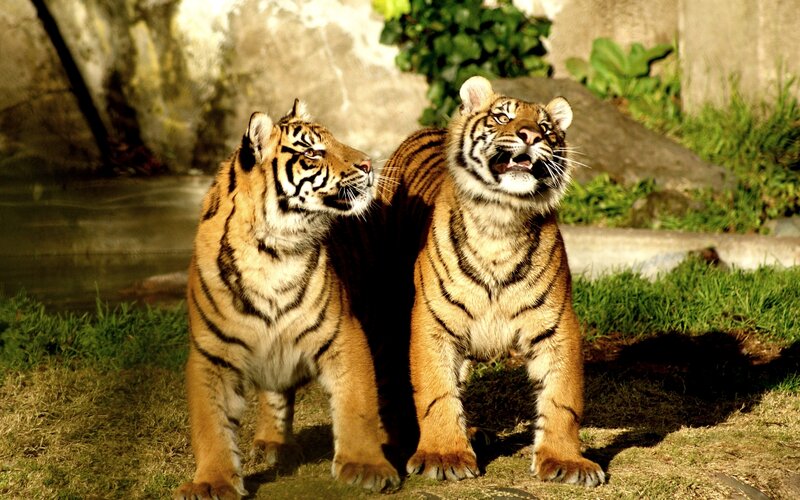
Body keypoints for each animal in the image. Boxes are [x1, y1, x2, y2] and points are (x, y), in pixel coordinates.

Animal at [175, 100, 400, 499]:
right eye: (313, 153)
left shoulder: (345, 335)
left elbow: (357, 404)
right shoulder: (210, 354)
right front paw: (212, 482)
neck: (271, 252)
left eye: (334, 139)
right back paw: (273, 443)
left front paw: (365, 466)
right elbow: (210, 425)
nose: (368, 164)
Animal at [378, 76, 605, 487]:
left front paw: (565, 461)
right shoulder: (432, 324)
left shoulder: (557, 325)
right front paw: (443, 455)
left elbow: (562, 398)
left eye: (546, 127)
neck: (501, 220)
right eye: (503, 117)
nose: (531, 135)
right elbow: (435, 392)